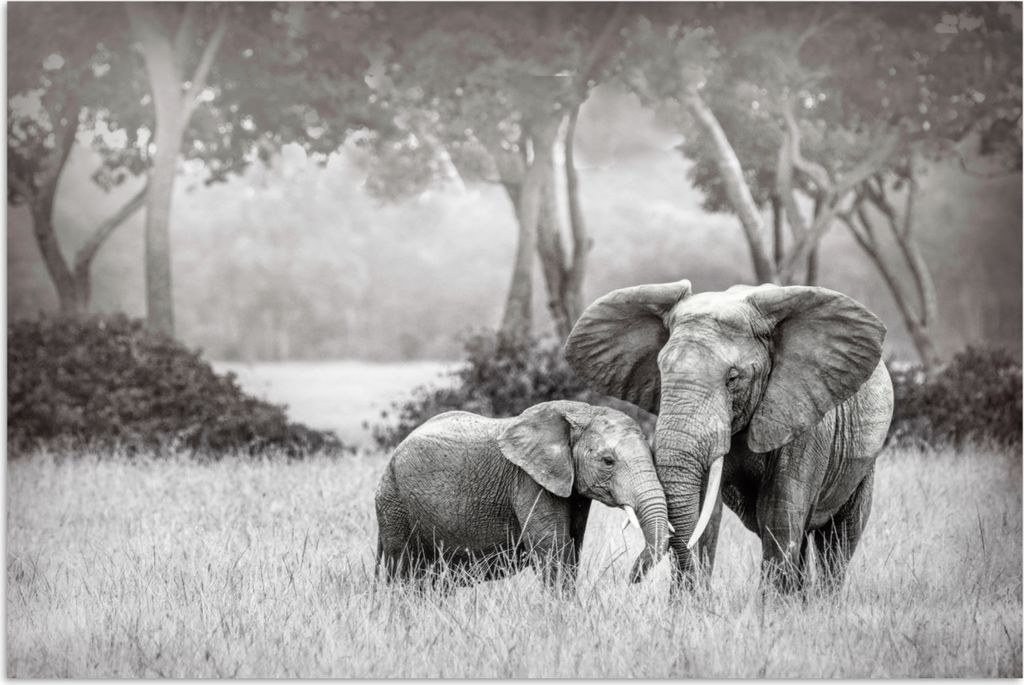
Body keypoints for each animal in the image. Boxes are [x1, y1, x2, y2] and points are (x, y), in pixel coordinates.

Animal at [374, 400, 671, 594]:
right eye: (608, 461)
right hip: (394, 504)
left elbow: (572, 547)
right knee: (403, 570)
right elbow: (553, 548)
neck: (579, 411)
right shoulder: (529, 480)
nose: (631, 578)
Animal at [565, 280, 894, 595]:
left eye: (733, 379)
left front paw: (774, 611)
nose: (631, 576)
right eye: (660, 372)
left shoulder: (805, 414)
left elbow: (780, 514)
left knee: (838, 540)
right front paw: (689, 606)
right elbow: (704, 514)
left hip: (862, 462)